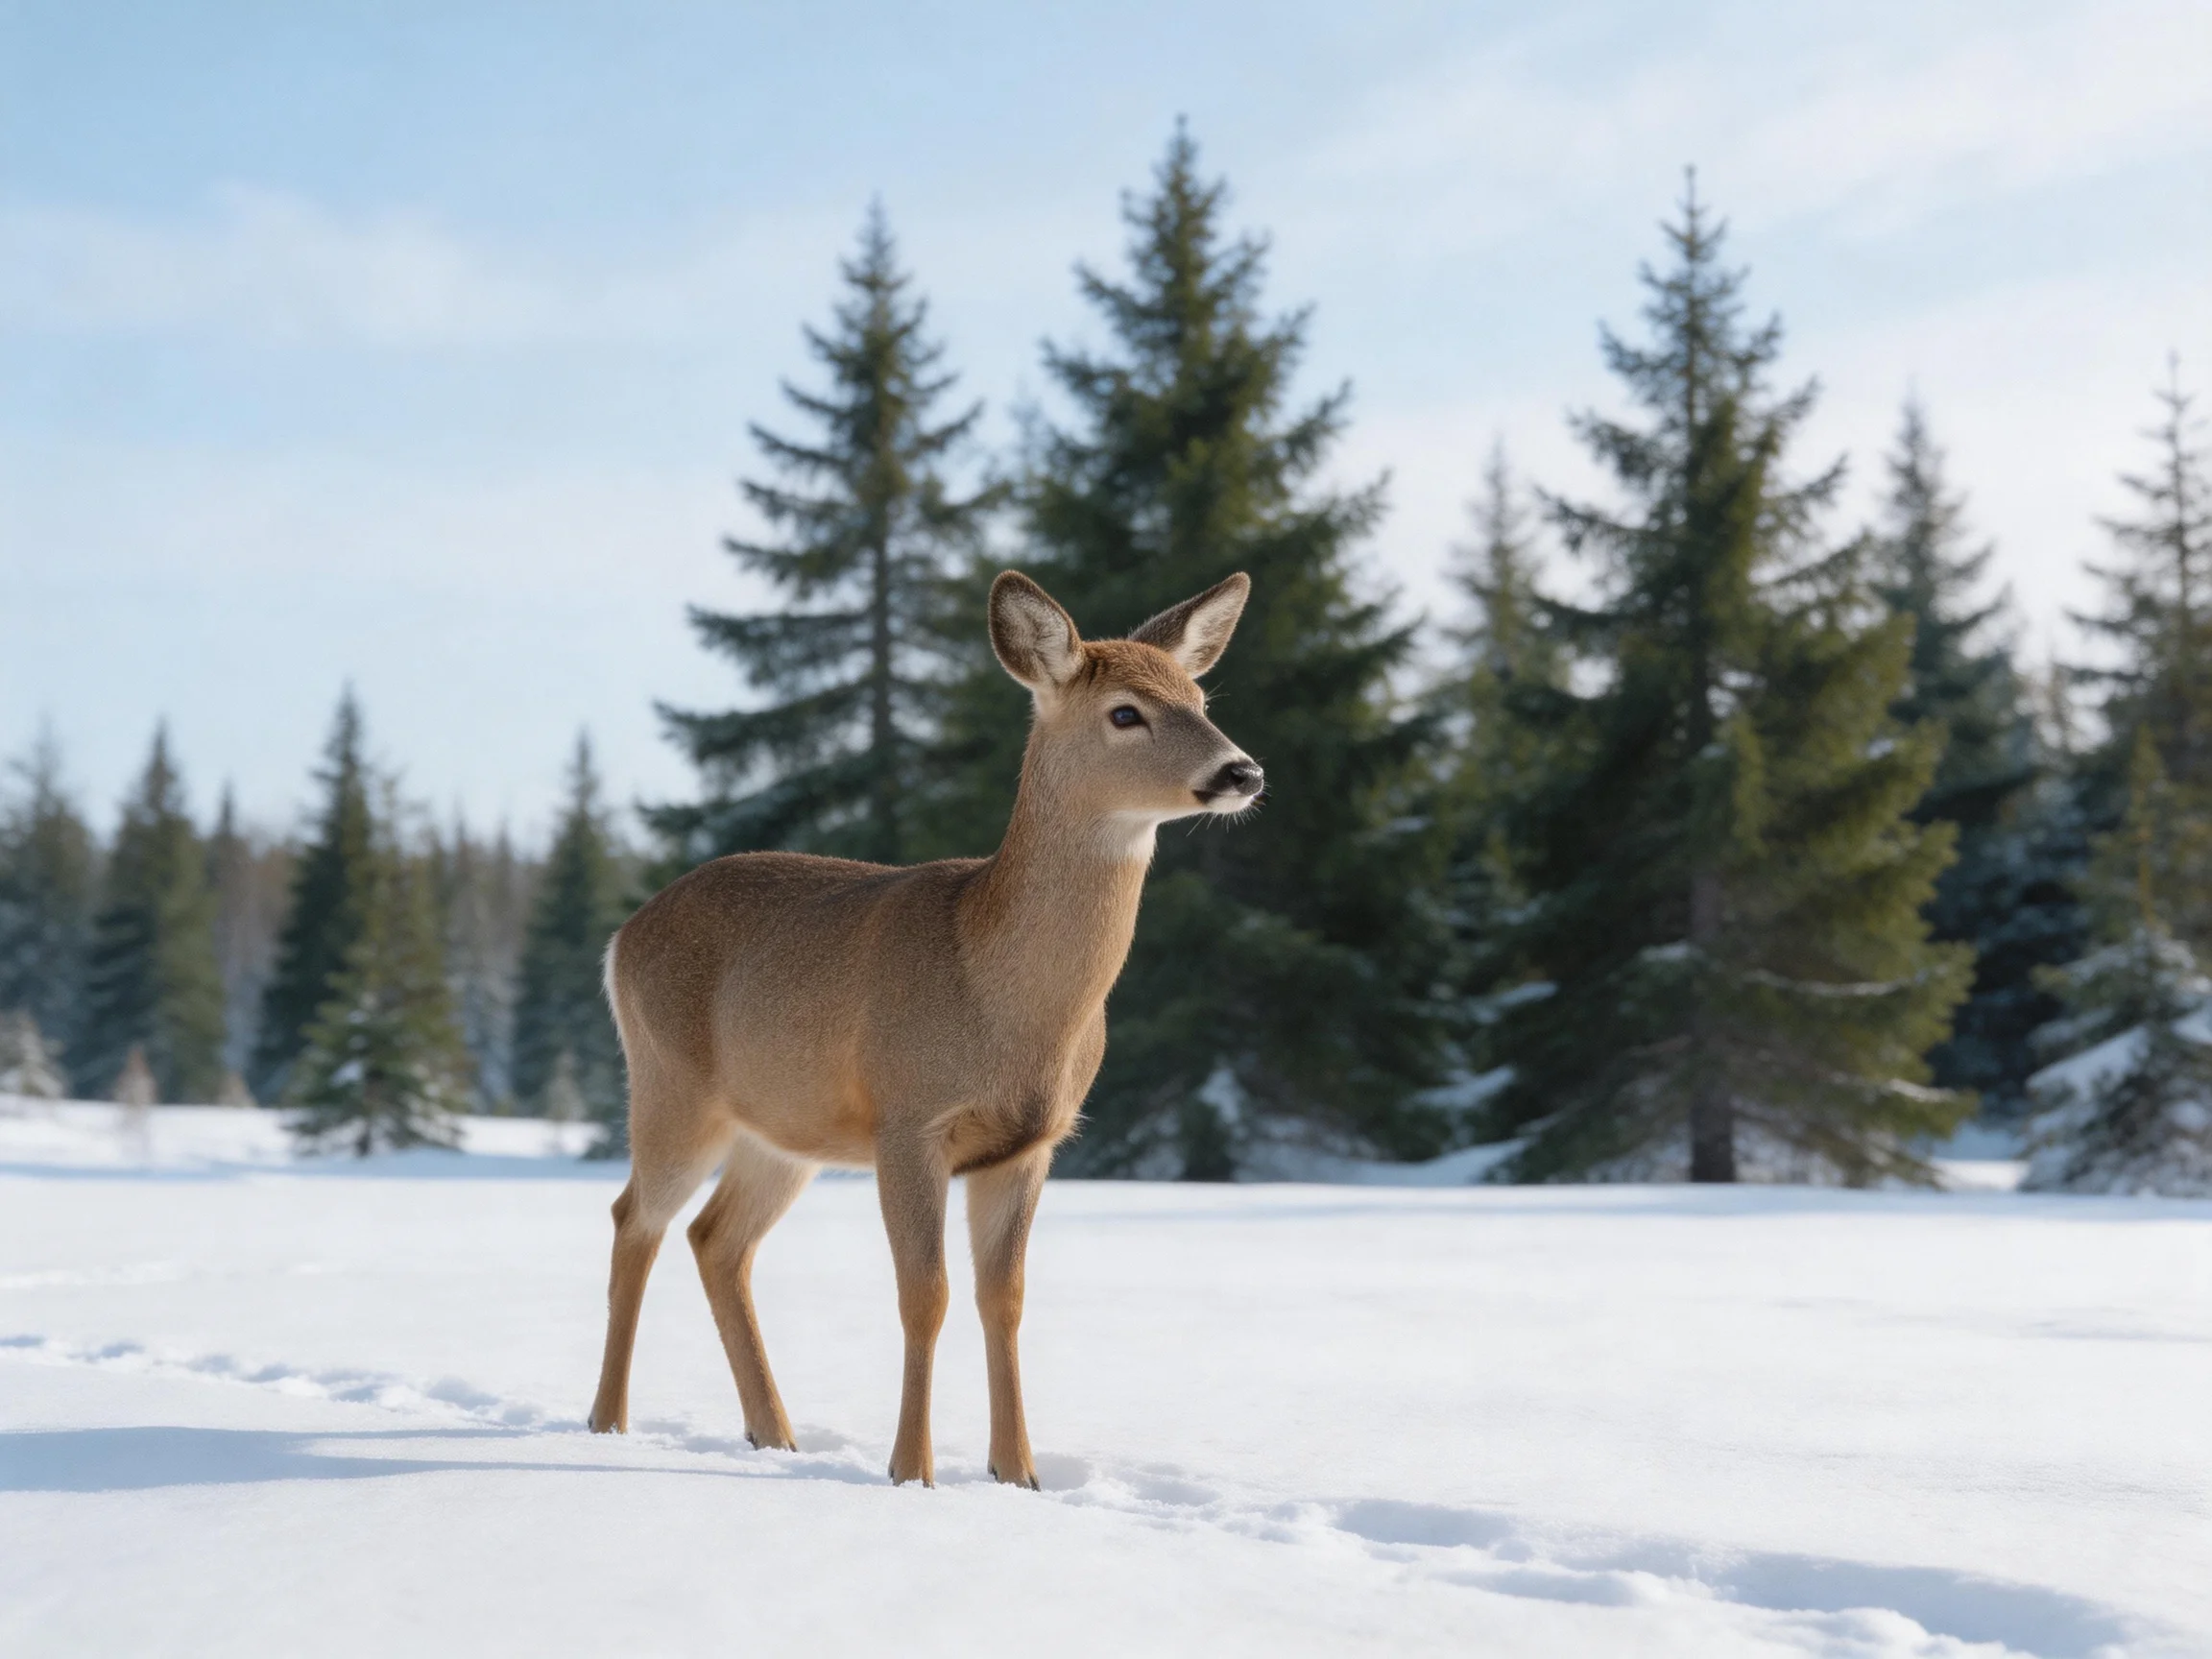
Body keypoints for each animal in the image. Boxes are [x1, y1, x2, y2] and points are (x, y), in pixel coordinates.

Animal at [587, 569, 1261, 1487]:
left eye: (1200, 697)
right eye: (1126, 712)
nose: (1242, 770)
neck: (1004, 1002)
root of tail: (622, 937)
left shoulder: (1029, 1143)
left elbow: (1003, 1299)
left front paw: (1019, 1475)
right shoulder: (911, 1119)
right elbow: (925, 1294)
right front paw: (913, 1471)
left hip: (783, 1130)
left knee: (715, 1238)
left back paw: (775, 1434)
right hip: (671, 1085)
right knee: (635, 1221)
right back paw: (607, 1423)